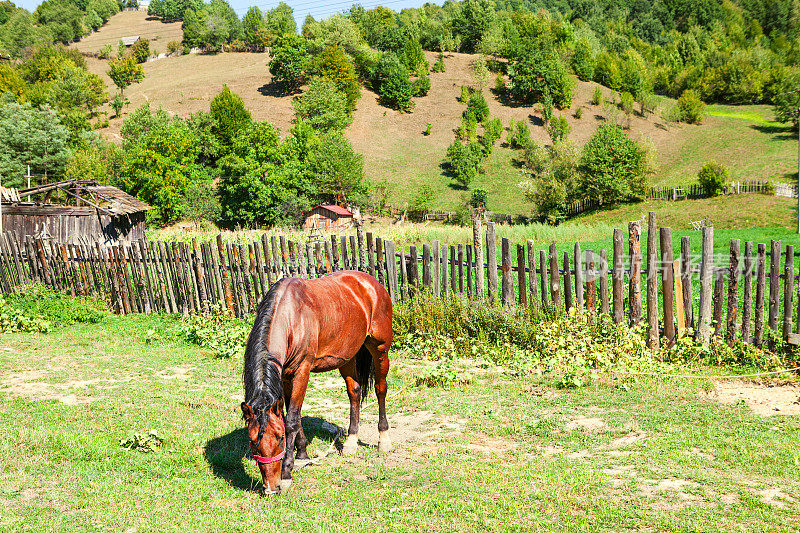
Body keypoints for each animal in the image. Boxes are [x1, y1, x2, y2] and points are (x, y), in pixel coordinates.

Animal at [241, 270, 394, 494]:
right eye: (252, 441)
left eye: (280, 438)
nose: (271, 487)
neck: (291, 316)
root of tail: (371, 283)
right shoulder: (285, 375)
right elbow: (291, 415)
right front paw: (302, 452)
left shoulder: (302, 371)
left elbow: (292, 420)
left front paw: (287, 474)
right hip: (346, 356)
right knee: (354, 392)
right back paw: (351, 441)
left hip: (380, 349)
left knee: (380, 389)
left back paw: (384, 439)